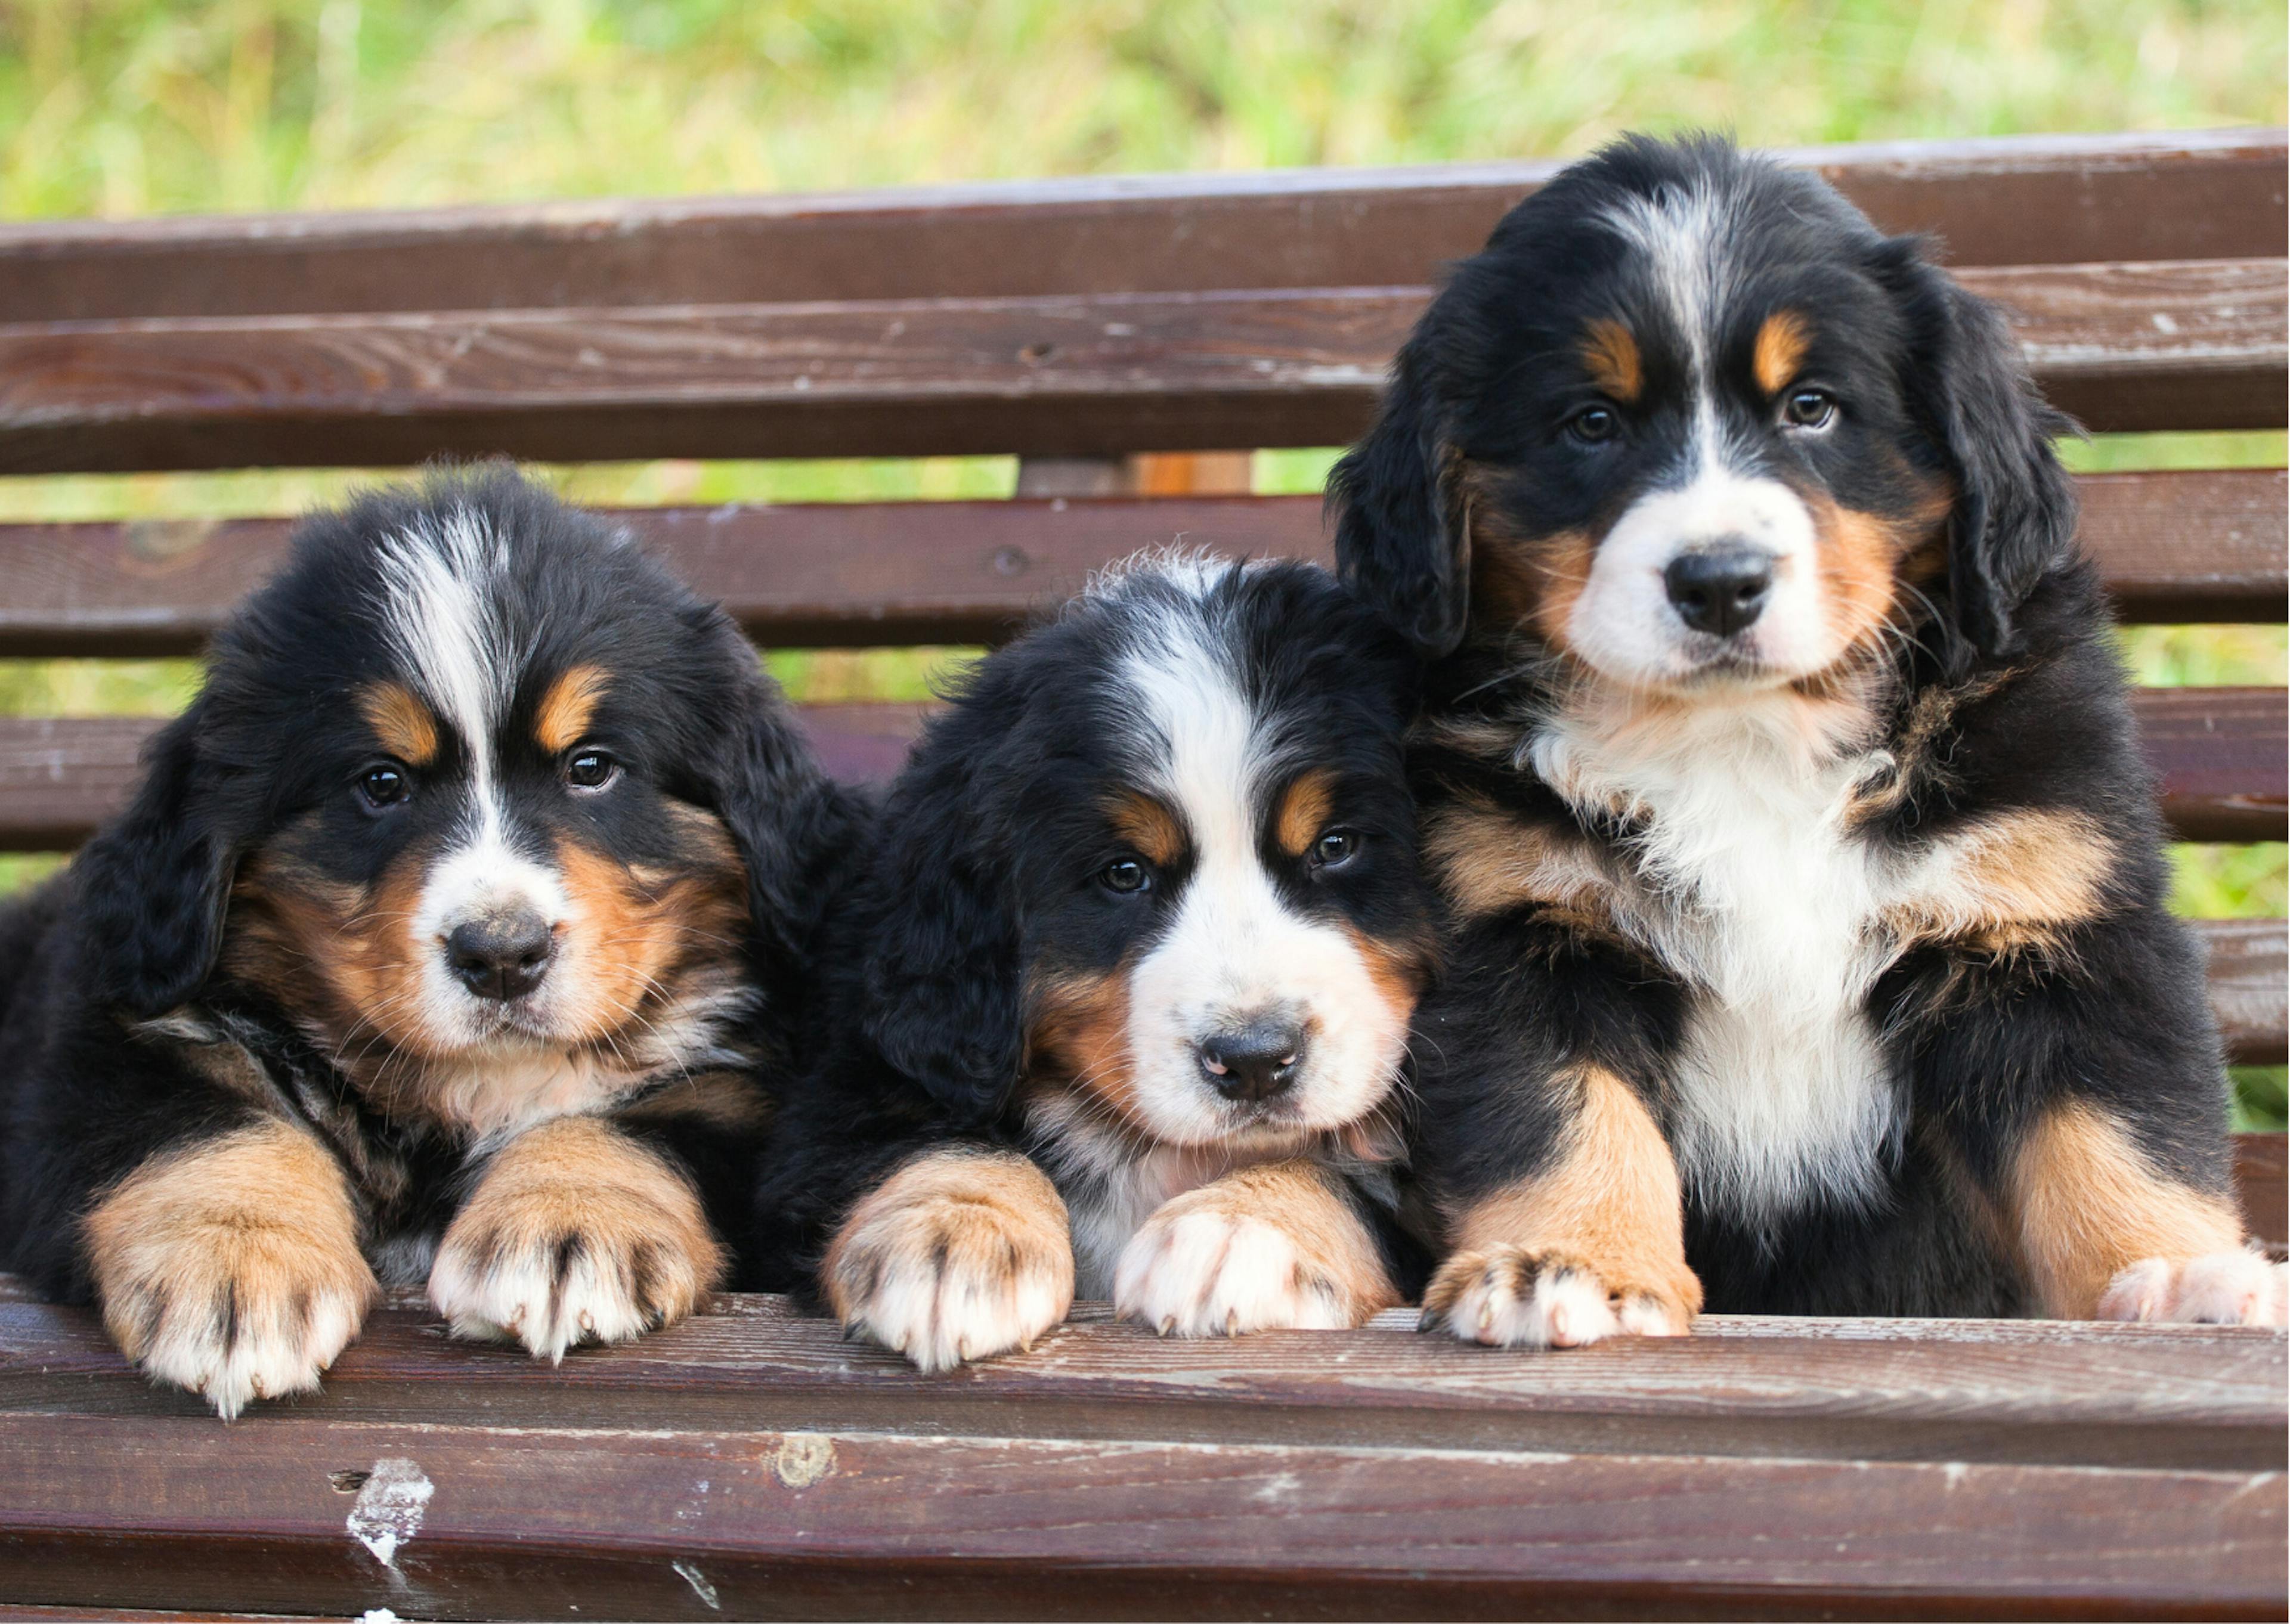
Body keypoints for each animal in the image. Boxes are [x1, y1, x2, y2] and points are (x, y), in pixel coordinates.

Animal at [0, 464, 861, 1402]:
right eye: (382, 783)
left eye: (592, 768)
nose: (502, 956)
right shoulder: (111, 1050)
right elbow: (205, 1122)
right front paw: (234, 1267)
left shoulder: (744, 1091)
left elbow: (645, 1123)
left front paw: (565, 1228)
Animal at [751, 556, 1429, 1365]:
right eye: (1124, 874)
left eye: (1336, 846)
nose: (1255, 1061)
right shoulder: (863, 1080)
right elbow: (928, 1139)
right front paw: (955, 1235)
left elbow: (1361, 1183)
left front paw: (1238, 1230)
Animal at [1337, 132, 2280, 1337]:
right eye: (1591, 422)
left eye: (1814, 408)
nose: (1719, 581)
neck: (1744, 740)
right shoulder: (1519, 926)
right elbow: (1563, 1116)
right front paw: (1573, 1259)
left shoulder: (2050, 917)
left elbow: (2112, 1126)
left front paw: (2175, 1275)